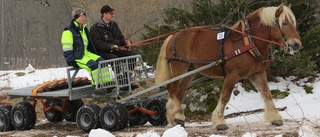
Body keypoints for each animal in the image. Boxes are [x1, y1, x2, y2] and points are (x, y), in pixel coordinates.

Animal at [154, 2, 300, 130]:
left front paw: (275, 117)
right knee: (172, 89)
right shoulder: (232, 75)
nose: (296, 45)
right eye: (284, 23)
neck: (248, 41)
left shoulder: (257, 73)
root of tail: (173, 36)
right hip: (180, 68)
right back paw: (178, 116)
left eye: (294, 23)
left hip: (190, 72)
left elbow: (267, 94)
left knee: (179, 92)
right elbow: (225, 96)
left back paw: (174, 117)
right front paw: (219, 121)